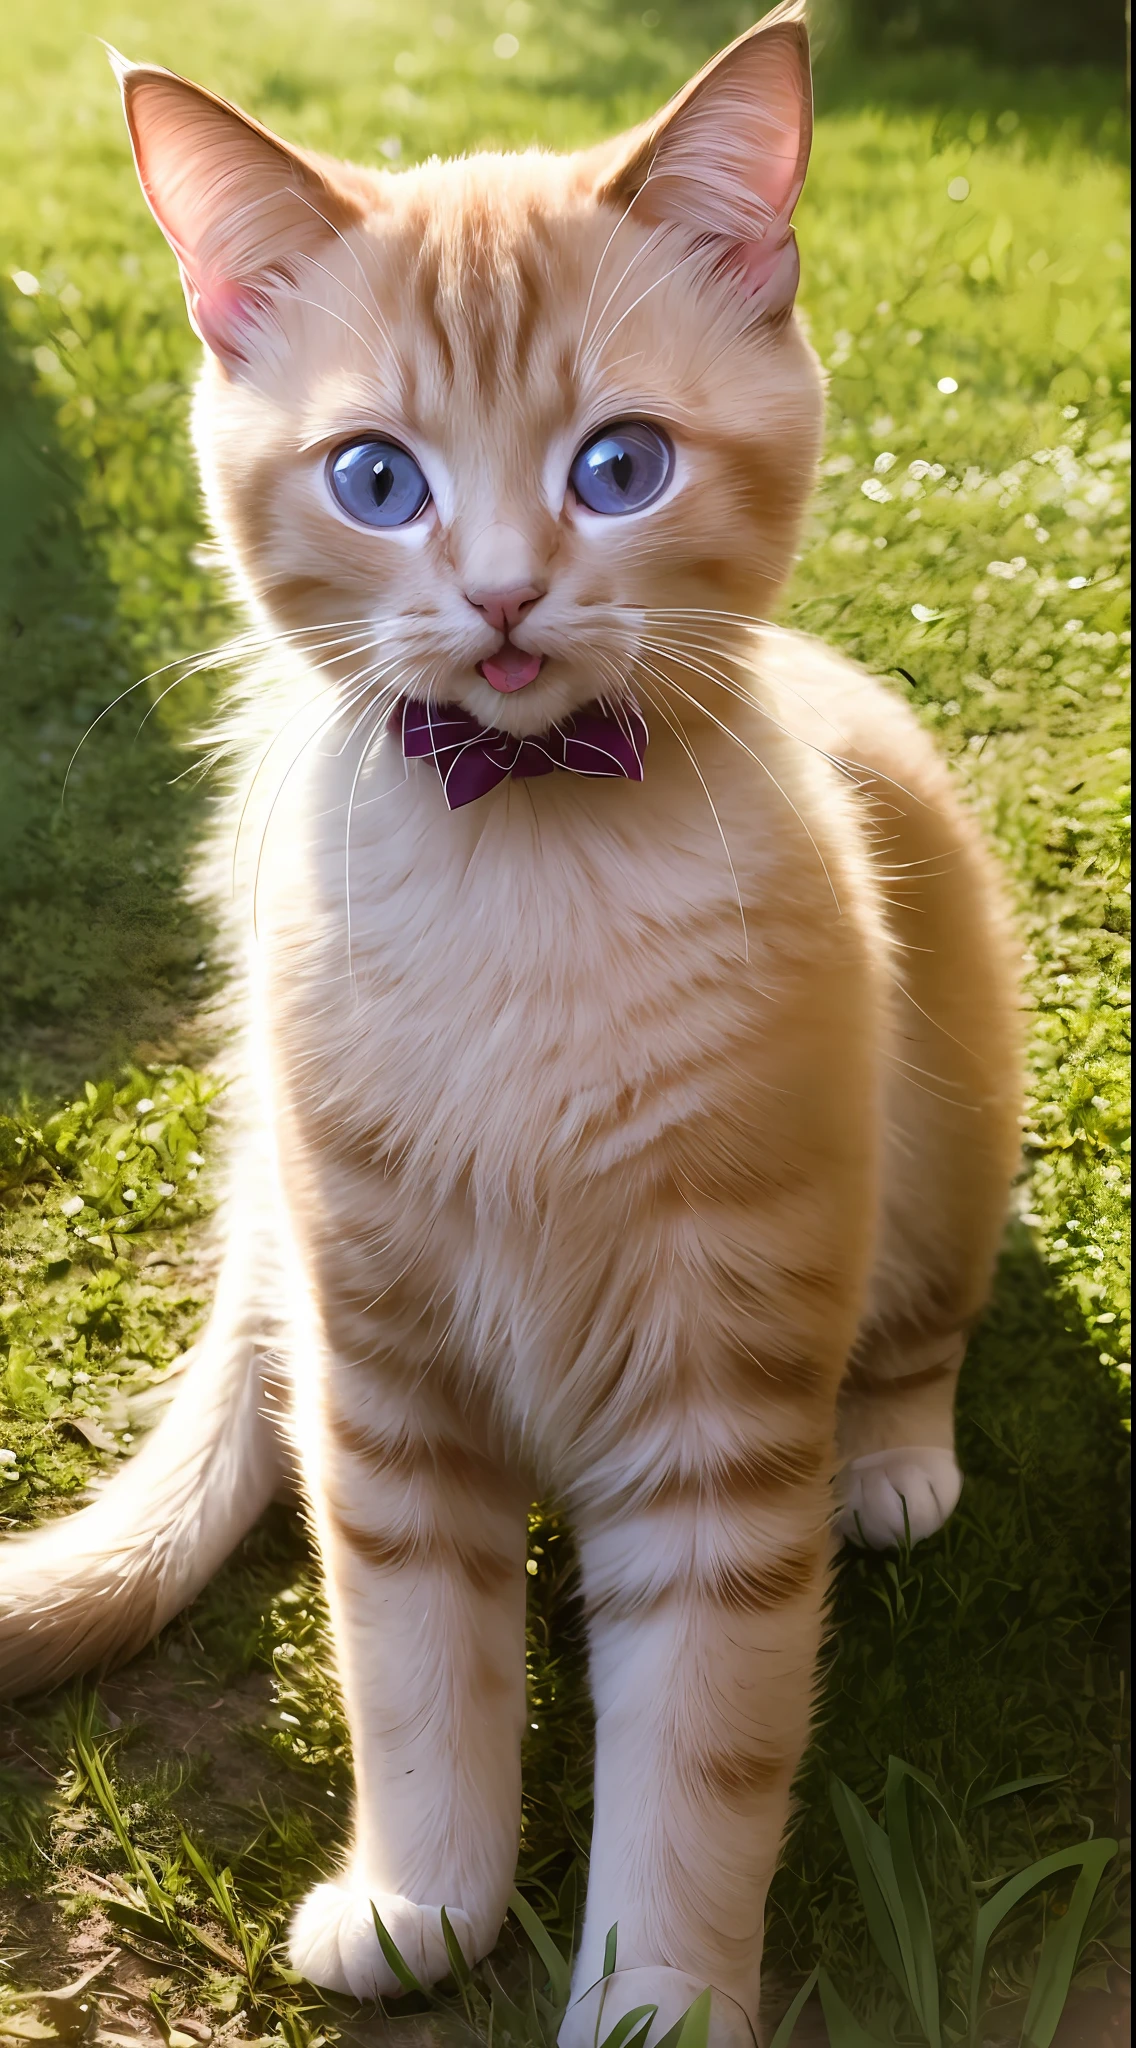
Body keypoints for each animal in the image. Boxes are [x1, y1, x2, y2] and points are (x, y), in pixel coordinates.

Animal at [0, 8, 1023, 2039]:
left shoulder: (723, 1412)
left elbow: (704, 1748)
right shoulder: (378, 1373)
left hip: (950, 1112)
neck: (522, 849)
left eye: (619, 465)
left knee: (921, 1323)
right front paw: (422, 1897)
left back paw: (896, 1453)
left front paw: (658, 1995)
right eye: (377, 480)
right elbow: (411, 1660)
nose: (496, 596)